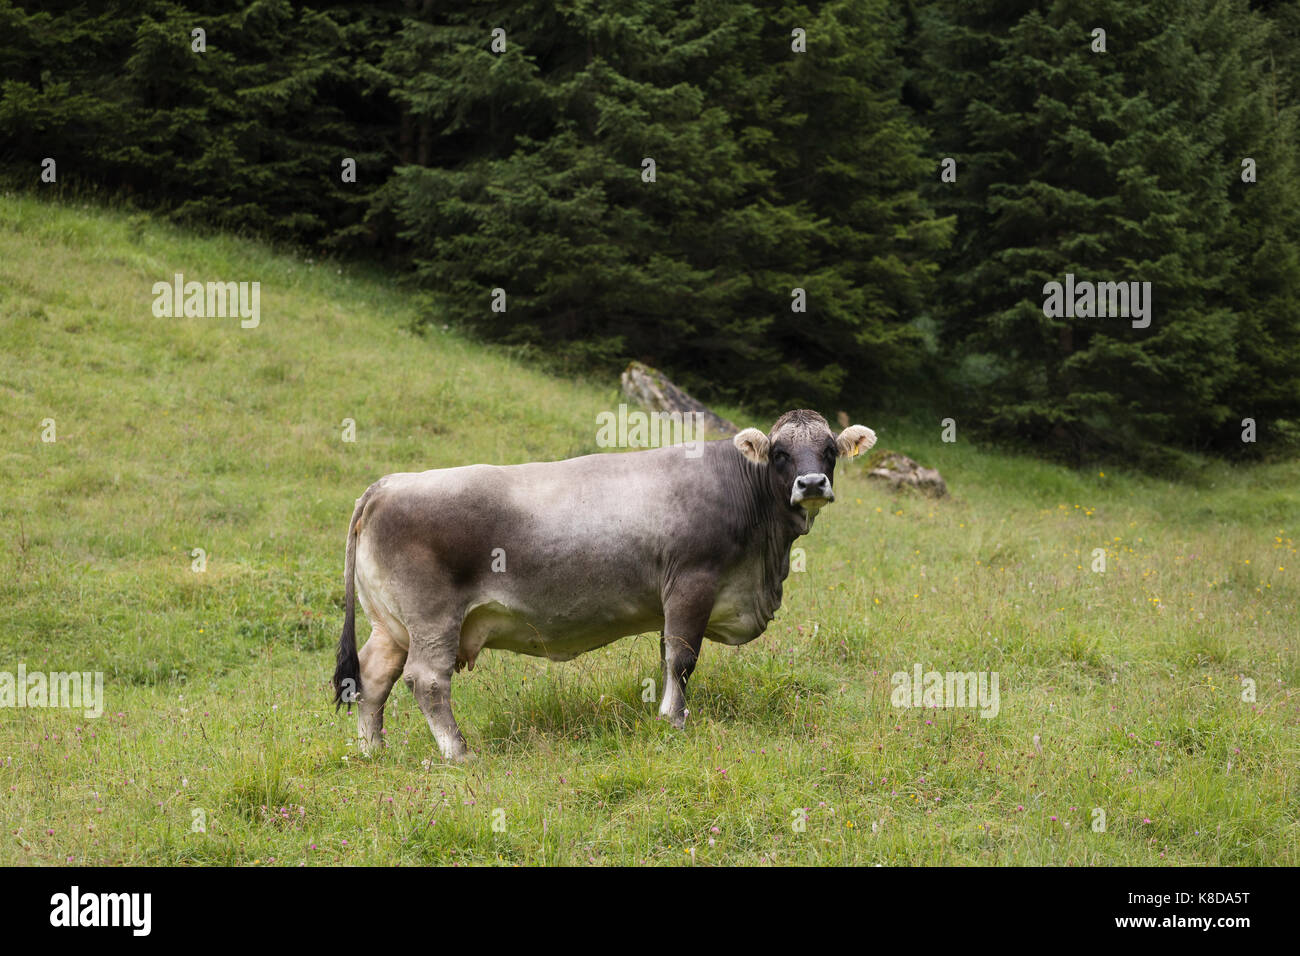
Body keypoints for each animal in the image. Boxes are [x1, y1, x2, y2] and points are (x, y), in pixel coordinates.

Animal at [330, 408, 878, 764]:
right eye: (781, 452)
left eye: (829, 451)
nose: (811, 484)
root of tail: (389, 483)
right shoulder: (693, 583)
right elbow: (683, 659)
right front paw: (674, 722)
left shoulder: (673, 600)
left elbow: (666, 657)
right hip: (431, 617)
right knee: (427, 679)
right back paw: (459, 752)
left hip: (392, 624)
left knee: (372, 677)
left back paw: (372, 751)